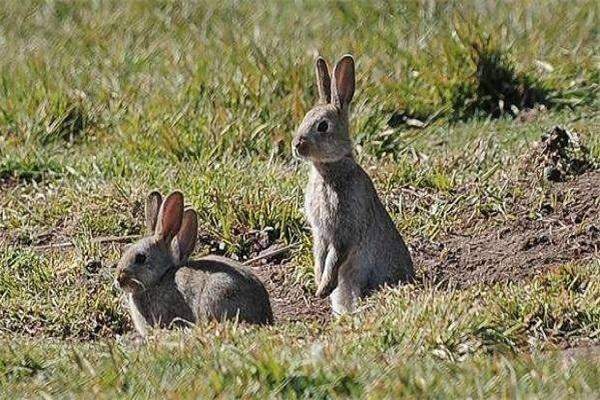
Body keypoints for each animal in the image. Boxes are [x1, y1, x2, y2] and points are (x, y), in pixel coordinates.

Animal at [292, 54, 414, 316]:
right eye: (305, 117)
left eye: (323, 126)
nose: (296, 145)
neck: (328, 170)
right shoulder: (320, 233)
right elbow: (319, 255)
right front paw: (318, 283)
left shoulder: (344, 230)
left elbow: (336, 256)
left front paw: (322, 289)